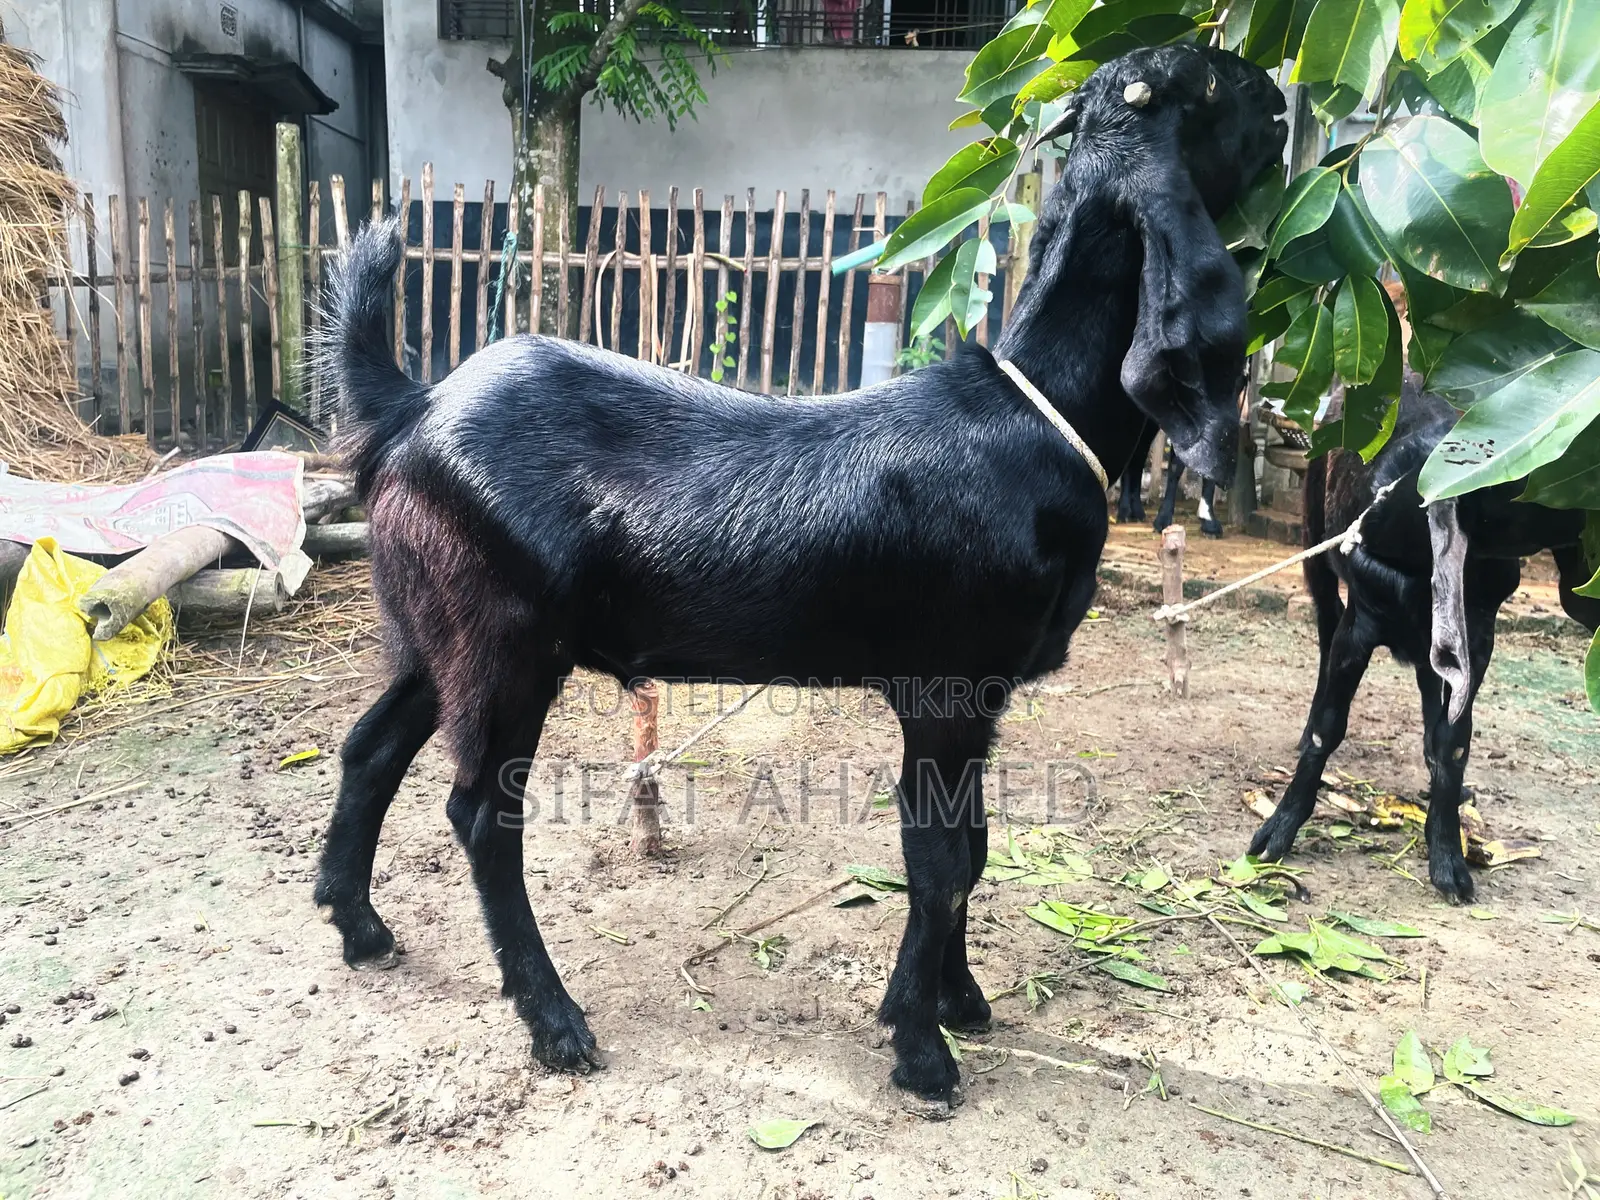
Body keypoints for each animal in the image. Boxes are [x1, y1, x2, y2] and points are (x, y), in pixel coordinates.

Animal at [313, 45, 1286, 1101]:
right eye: (1211, 85)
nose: (1281, 102)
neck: (1037, 414)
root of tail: (412, 407)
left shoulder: (978, 696)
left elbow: (975, 848)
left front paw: (960, 1002)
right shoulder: (943, 685)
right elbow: (940, 861)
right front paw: (922, 1050)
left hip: (435, 626)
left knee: (370, 747)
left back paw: (357, 925)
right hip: (506, 640)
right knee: (482, 812)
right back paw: (555, 1022)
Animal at [1247, 373, 1600, 900]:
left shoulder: (1476, 643)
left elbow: (1452, 741)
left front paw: (1448, 856)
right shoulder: (1358, 631)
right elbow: (1327, 728)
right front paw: (1279, 829)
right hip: (1317, 559)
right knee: (1325, 635)